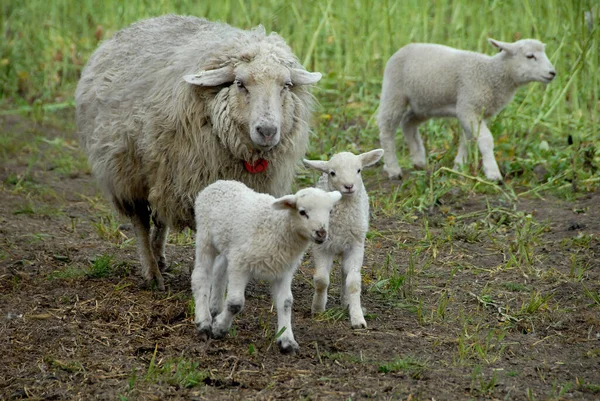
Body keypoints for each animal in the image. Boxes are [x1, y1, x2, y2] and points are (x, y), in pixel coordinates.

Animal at [76, 14, 324, 290]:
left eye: (286, 85)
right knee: (140, 220)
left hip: (162, 173)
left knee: (160, 216)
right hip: (127, 172)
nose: (267, 130)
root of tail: (142, 22)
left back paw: (159, 256)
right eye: (240, 84)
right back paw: (152, 272)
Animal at [192, 179, 342, 354]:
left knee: (219, 269)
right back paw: (204, 321)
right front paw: (219, 328)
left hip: (228, 244)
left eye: (330, 211)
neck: (278, 227)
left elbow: (286, 302)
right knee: (201, 276)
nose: (321, 233)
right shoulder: (240, 263)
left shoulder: (284, 269)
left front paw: (287, 340)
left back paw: (215, 307)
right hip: (205, 236)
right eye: (302, 212)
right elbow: (235, 303)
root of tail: (220, 182)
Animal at [302, 148, 382, 328]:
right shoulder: (321, 246)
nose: (349, 186)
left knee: (346, 274)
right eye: (333, 173)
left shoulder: (356, 246)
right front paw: (317, 308)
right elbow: (321, 280)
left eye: (359, 170)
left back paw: (346, 302)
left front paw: (357, 318)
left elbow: (353, 283)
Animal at [380, 37, 556, 181]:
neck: (490, 74)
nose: (553, 73)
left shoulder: (479, 112)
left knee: (408, 122)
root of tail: (404, 48)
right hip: (394, 92)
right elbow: (486, 139)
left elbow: (468, 139)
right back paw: (393, 169)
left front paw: (459, 167)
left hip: (424, 103)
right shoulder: (468, 106)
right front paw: (493, 173)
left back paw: (419, 161)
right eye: (530, 56)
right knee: (387, 129)